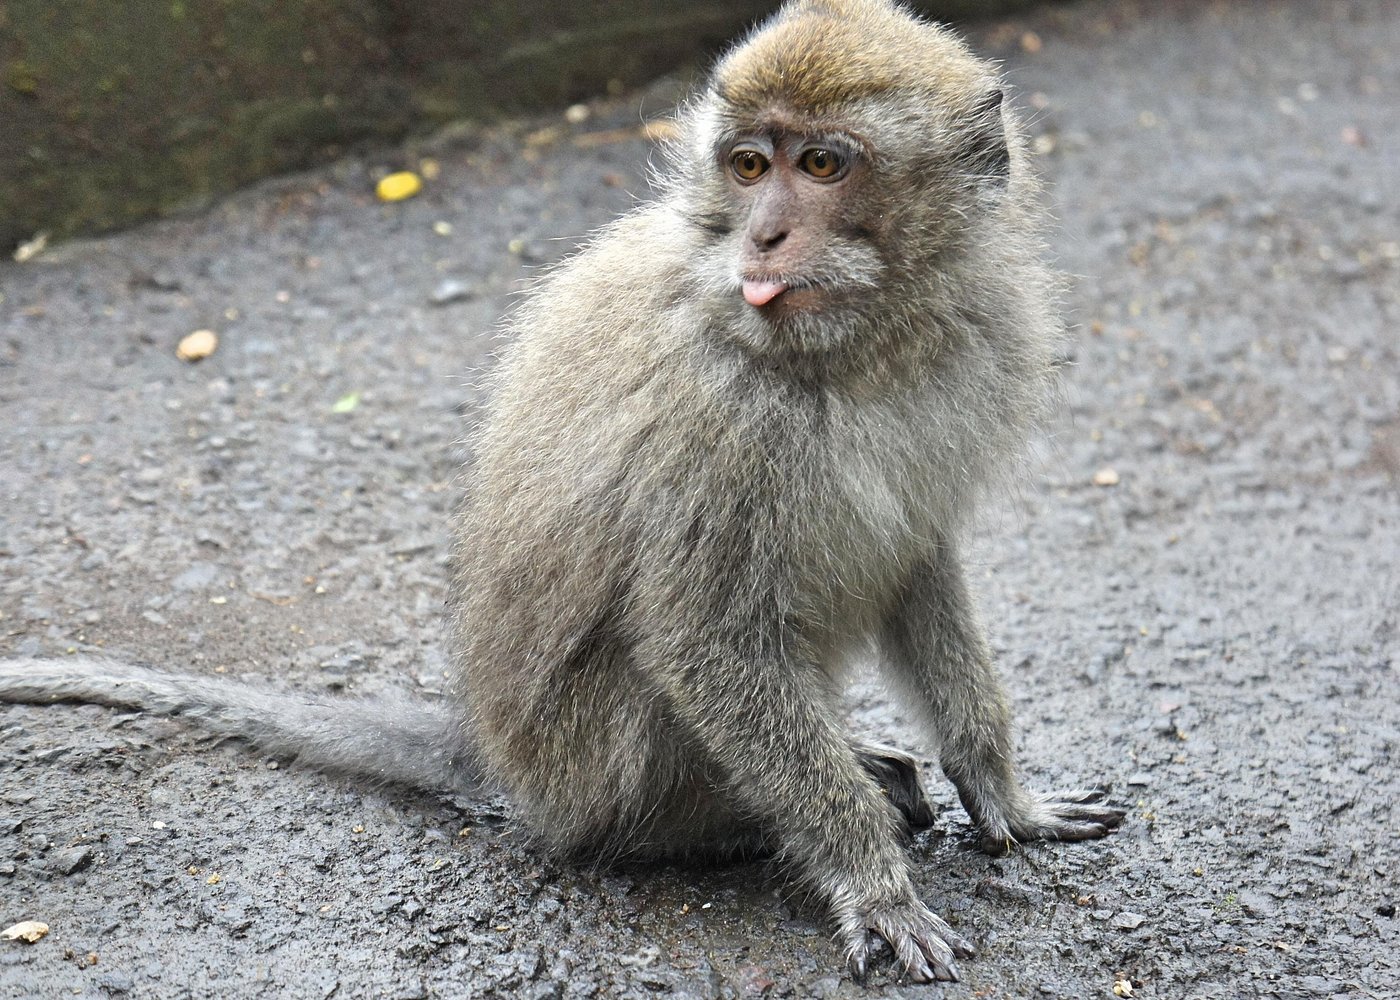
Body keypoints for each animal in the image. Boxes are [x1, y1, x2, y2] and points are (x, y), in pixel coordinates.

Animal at [0, 0, 1124, 984]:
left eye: (821, 164)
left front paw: (1000, 788)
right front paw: (869, 878)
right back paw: (750, 818)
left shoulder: (970, 343)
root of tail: (504, 763)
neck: (855, 349)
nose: (761, 236)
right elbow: (704, 640)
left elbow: (917, 562)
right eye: (749, 165)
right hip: (598, 765)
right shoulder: (710, 419)